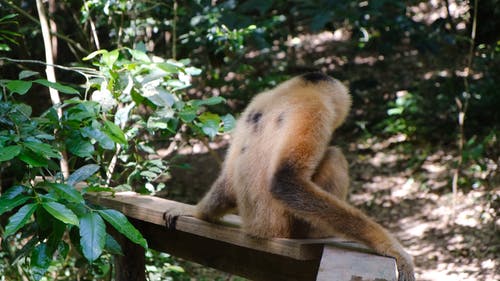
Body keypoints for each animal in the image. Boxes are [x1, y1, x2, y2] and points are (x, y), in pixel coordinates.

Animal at [163, 72, 414, 280]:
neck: (291, 90)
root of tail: (259, 230)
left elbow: (227, 182)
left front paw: (195, 212)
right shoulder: (316, 109)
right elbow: (287, 181)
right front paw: (392, 247)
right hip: (298, 228)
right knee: (334, 156)